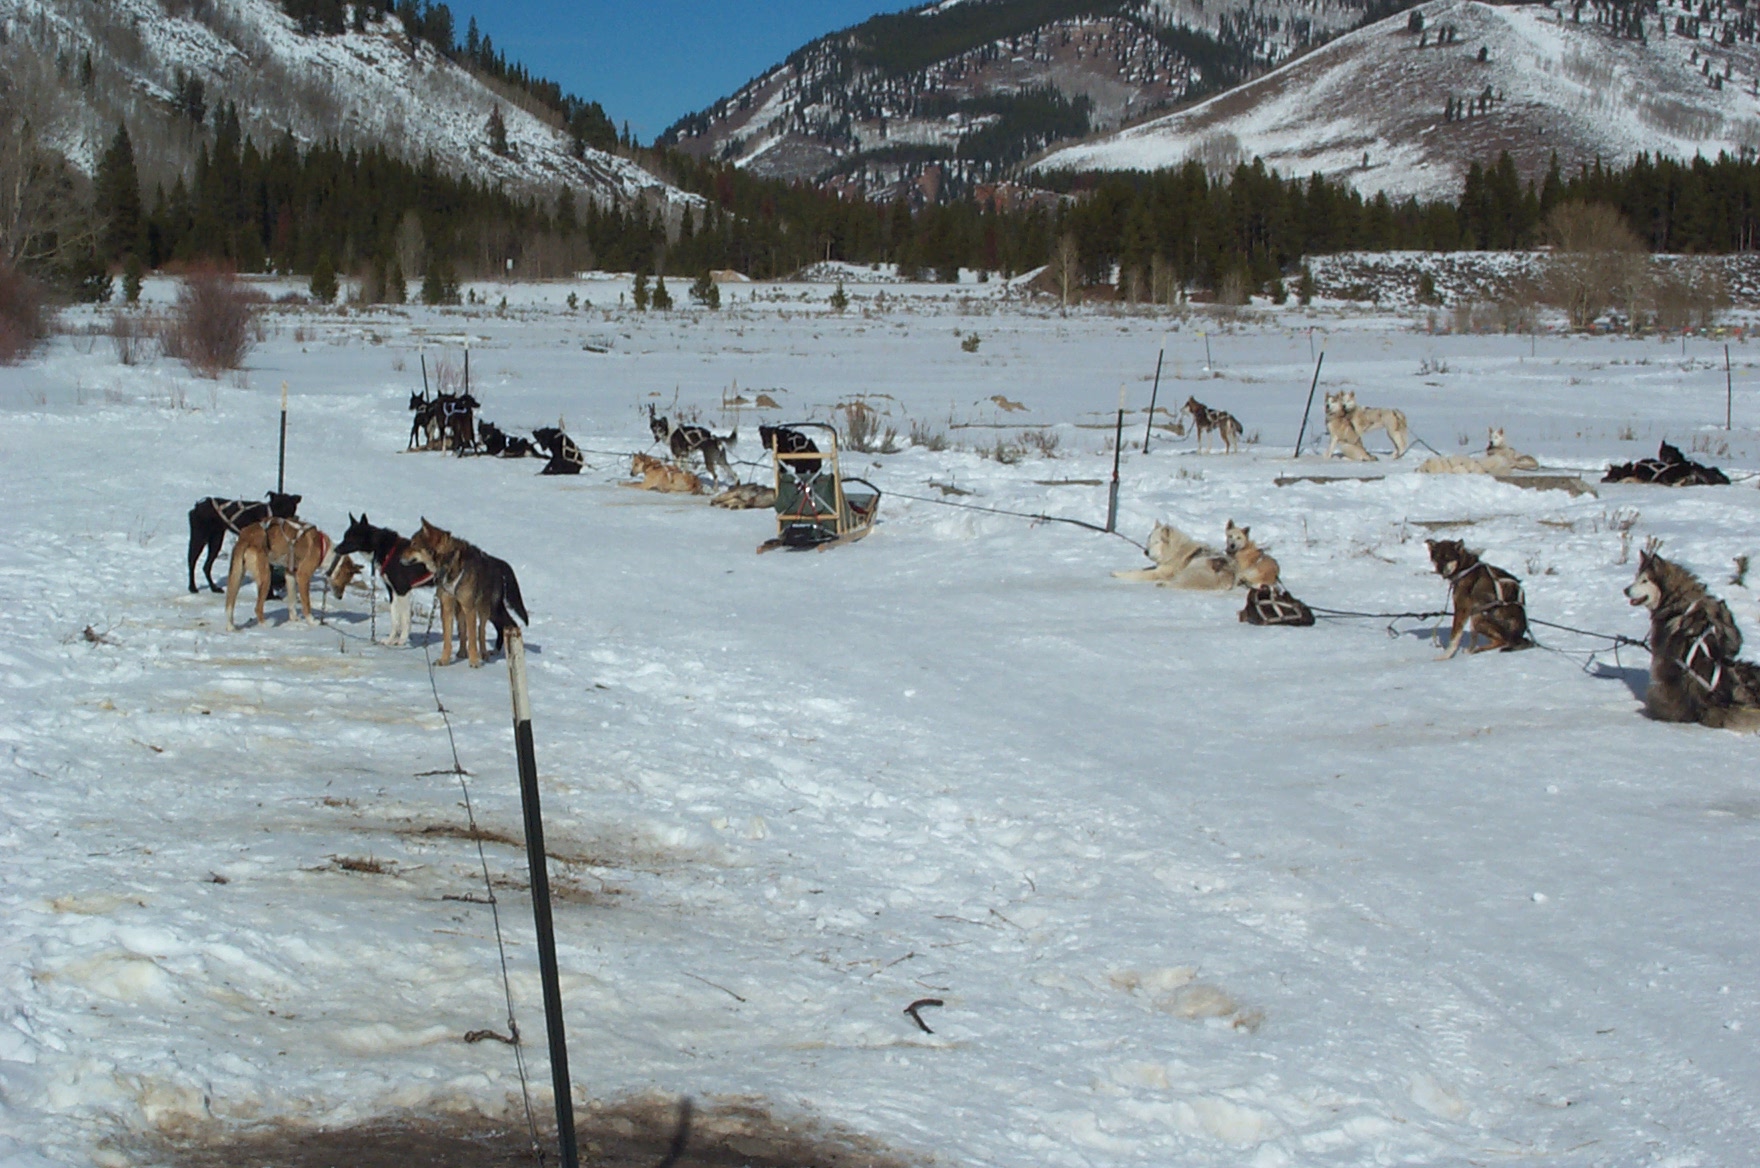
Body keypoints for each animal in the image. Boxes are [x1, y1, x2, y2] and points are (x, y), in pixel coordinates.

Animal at [401, 520, 528, 667]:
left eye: (414, 544)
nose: (399, 557)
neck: (449, 563)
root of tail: (496, 562)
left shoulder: (469, 608)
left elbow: (473, 639)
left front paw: (474, 662)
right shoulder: (447, 607)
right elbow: (448, 639)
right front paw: (444, 660)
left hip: (485, 610)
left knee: (482, 631)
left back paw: (485, 654)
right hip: (461, 610)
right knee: (463, 631)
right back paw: (462, 653)